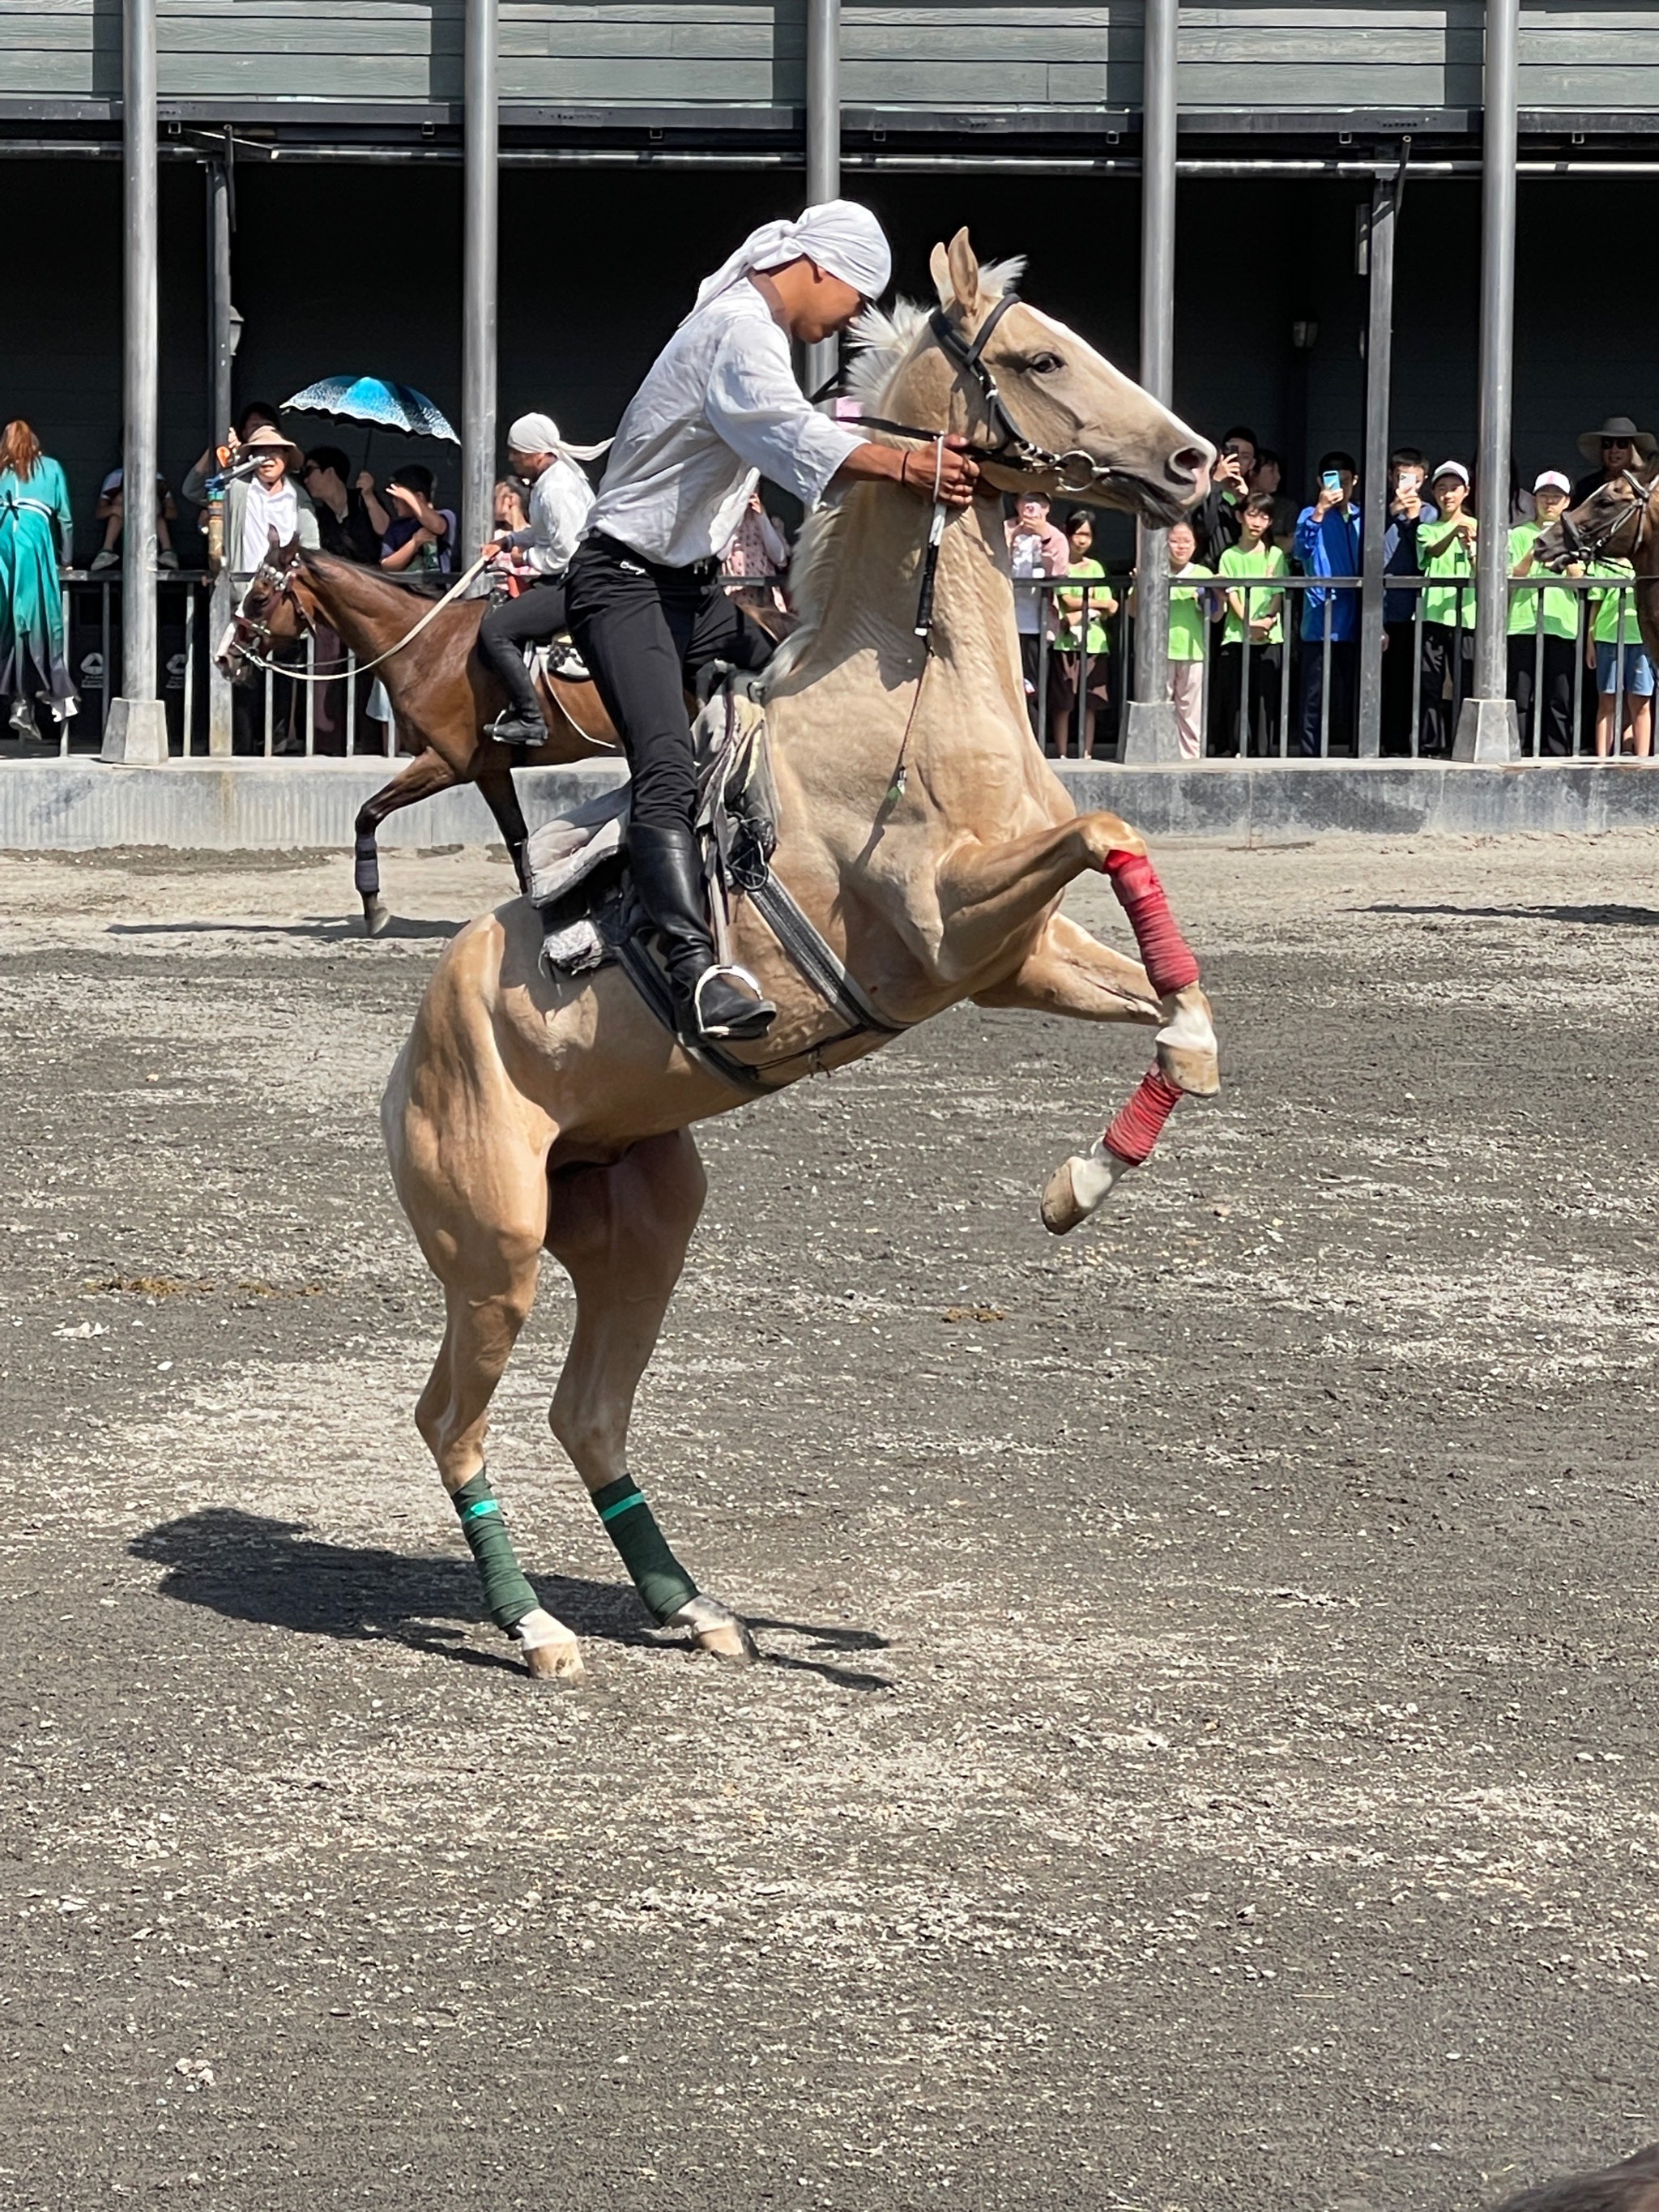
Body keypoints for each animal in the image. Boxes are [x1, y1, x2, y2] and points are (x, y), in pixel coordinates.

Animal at [214, 562, 619, 933]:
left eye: (259, 598)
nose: (223, 658)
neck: (430, 647)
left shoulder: (444, 763)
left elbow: (367, 814)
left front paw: (373, 906)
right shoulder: (489, 772)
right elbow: (518, 841)